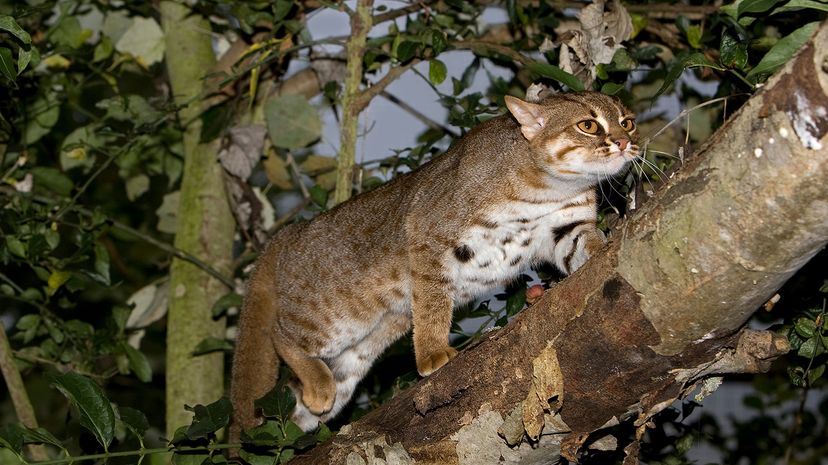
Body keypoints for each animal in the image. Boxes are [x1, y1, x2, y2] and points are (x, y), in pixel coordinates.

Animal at [231, 89, 640, 436]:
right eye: (588, 125)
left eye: (628, 121)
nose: (625, 142)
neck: (549, 190)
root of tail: (290, 232)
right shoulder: (427, 234)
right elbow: (432, 302)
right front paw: (431, 352)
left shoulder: (565, 230)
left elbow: (587, 244)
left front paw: (608, 245)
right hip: (335, 316)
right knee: (280, 334)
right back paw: (315, 383)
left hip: (363, 345)